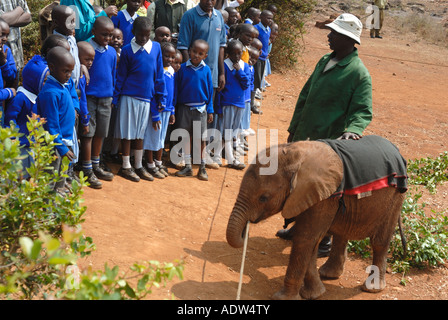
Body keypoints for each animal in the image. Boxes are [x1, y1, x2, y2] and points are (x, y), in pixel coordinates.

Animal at [226, 135, 408, 300]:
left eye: (263, 198)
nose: (245, 230)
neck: (295, 155)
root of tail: (398, 151)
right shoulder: (309, 196)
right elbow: (311, 241)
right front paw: (315, 294)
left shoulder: (323, 197)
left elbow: (305, 238)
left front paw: (283, 298)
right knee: (341, 233)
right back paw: (328, 274)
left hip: (395, 196)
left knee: (379, 241)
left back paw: (371, 288)